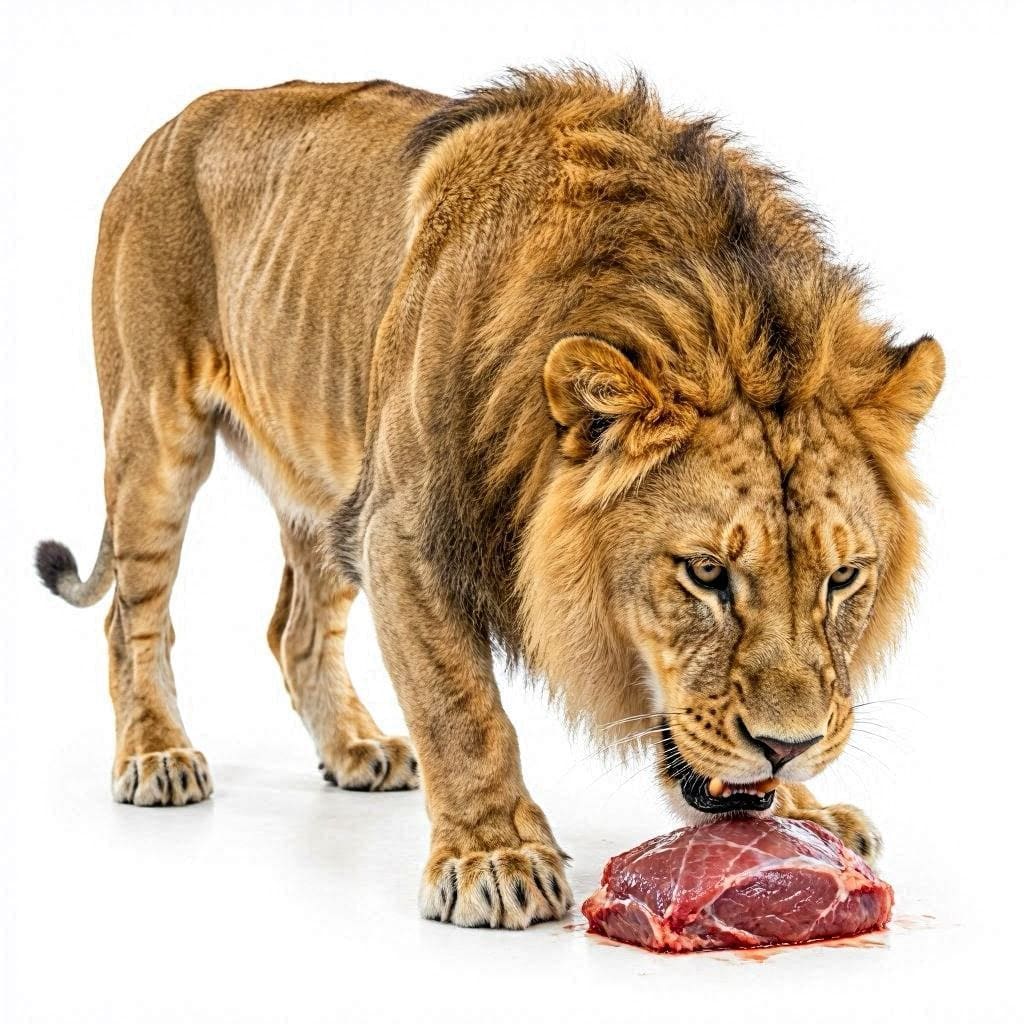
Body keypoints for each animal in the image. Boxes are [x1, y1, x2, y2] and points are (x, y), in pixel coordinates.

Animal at [35, 70, 942, 930]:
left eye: (844, 579)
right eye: (707, 573)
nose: (787, 748)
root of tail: (175, 120)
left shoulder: (368, 519)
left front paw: (804, 811)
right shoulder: (400, 531)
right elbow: (460, 704)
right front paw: (495, 857)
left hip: (327, 487)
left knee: (294, 629)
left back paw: (356, 749)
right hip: (155, 436)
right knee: (132, 619)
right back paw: (156, 755)